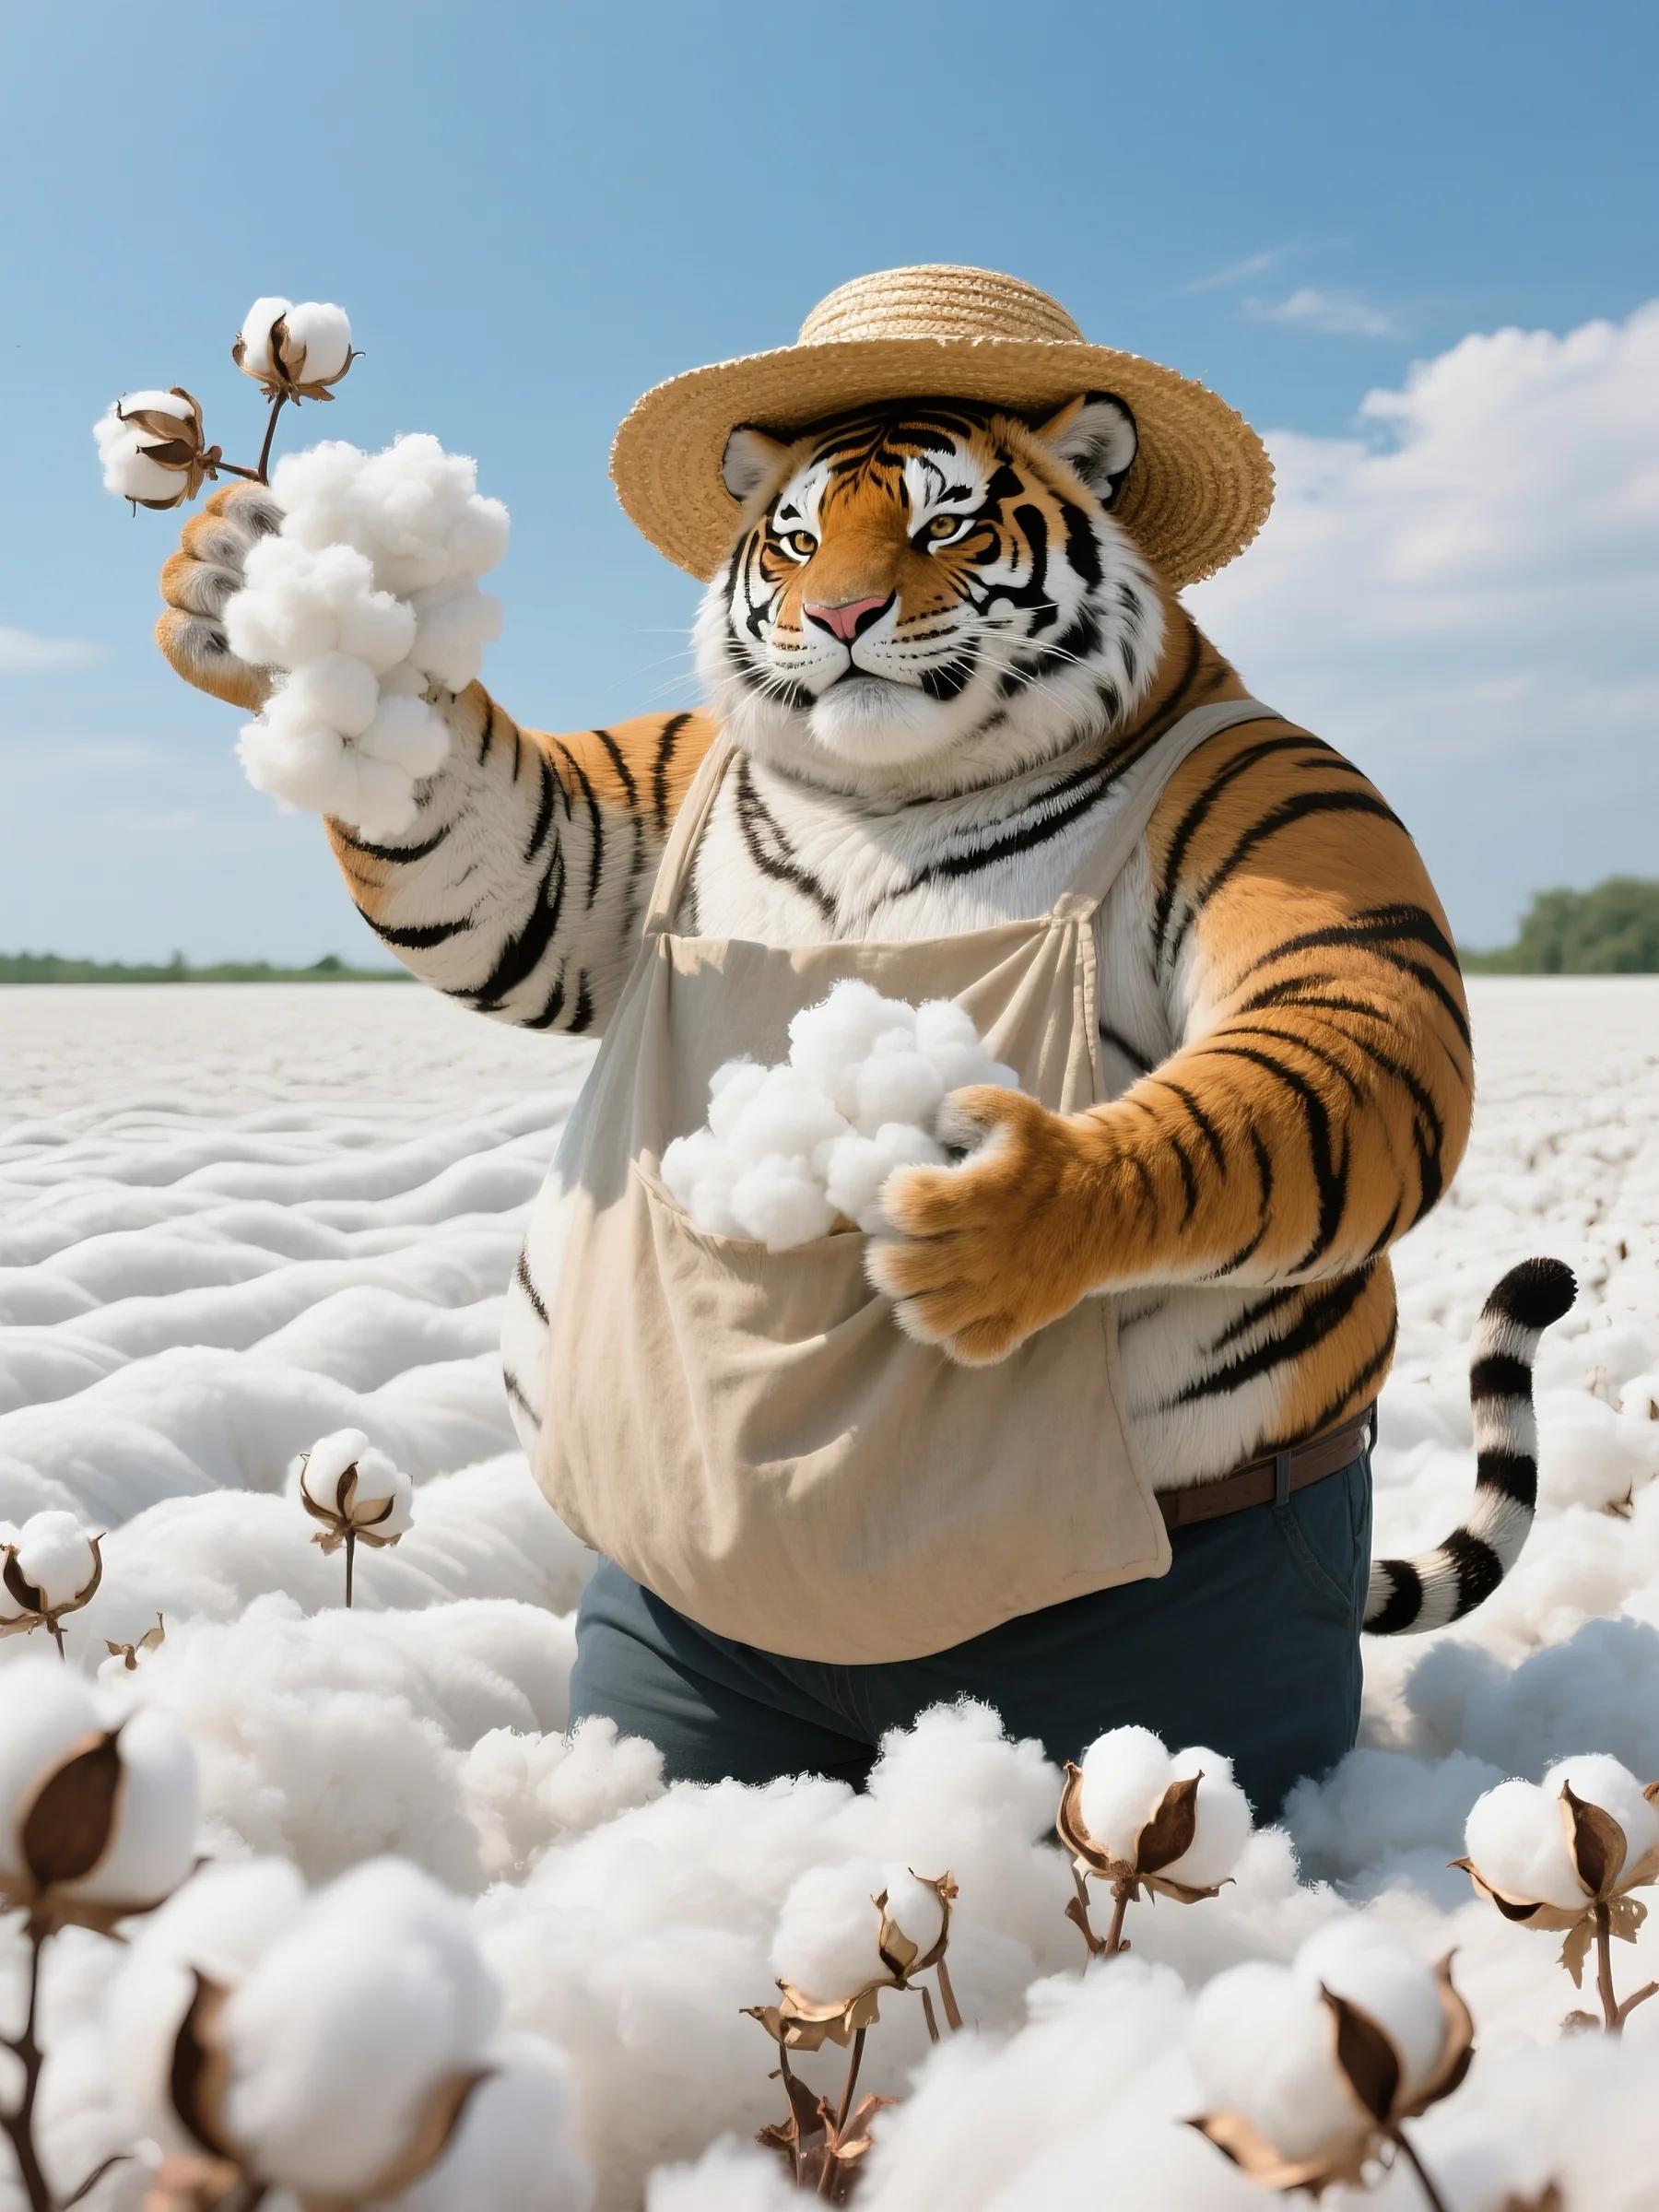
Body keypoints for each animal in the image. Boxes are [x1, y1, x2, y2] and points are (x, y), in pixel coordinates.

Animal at [155, 391, 1558, 1632]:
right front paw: (242, 576)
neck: (889, 794)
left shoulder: (1301, 832)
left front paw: (1020, 1218)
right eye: (795, 537)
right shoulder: (574, 864)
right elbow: (460, 830)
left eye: (946, 526)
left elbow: (1343, 1040)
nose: (836, 613)